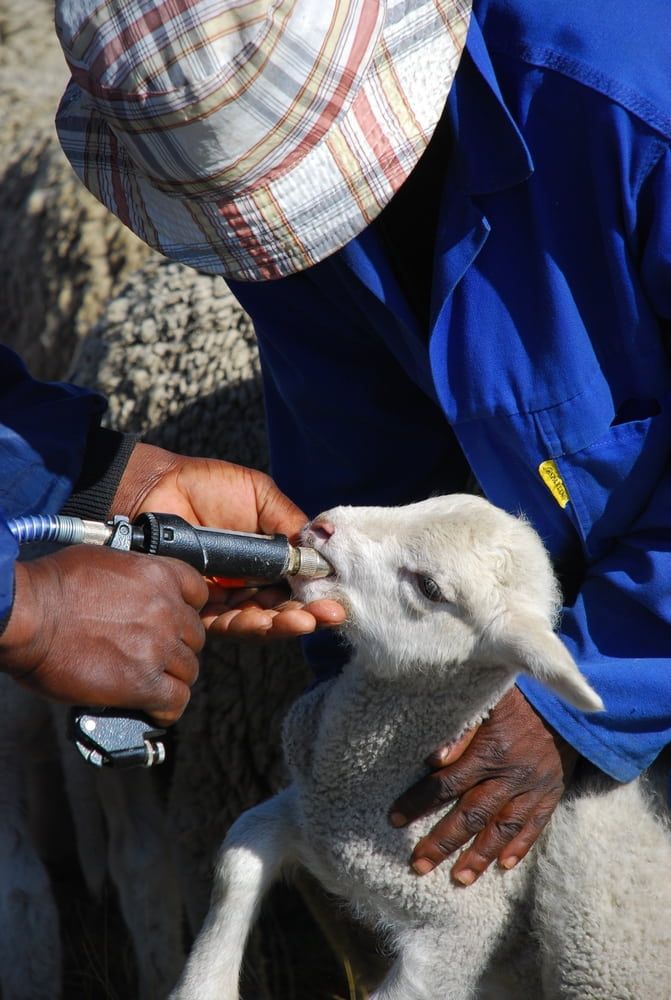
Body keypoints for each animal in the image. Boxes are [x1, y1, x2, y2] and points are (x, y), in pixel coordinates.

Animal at [172, 494, 671, 1000]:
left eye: (430, 588)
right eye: (418, 503)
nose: (323, 527)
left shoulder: (460, 936)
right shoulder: (305, 814)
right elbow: (237, 857)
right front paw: (202, 987)